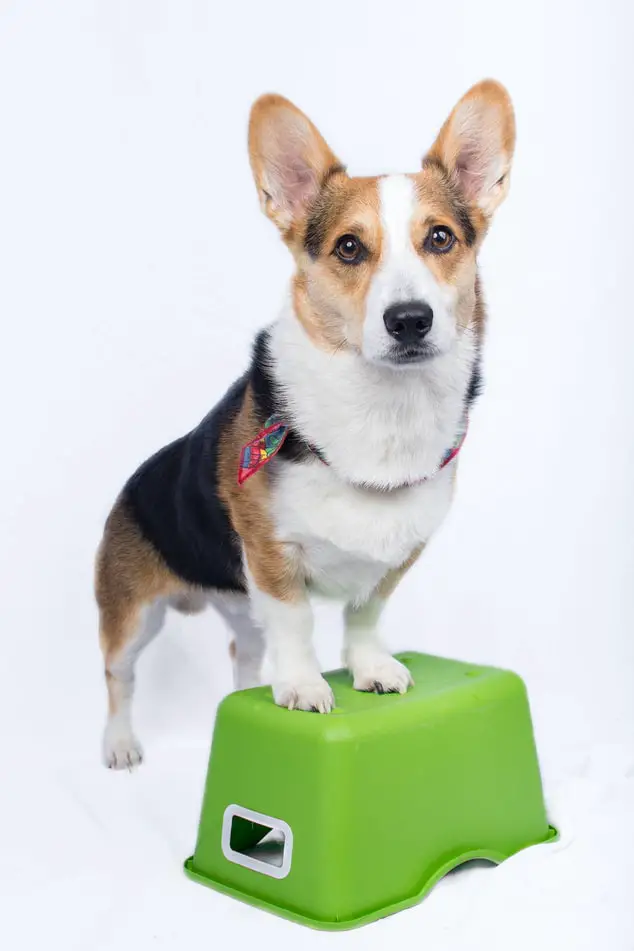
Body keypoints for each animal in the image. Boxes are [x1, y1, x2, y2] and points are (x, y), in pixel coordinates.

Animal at [97, 78, 512, 768]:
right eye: (349, 246)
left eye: (441, 238)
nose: (410, 319)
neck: (383, 407)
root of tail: (129, 485)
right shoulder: (271, 555)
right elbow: (296, 621)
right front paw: (302, 687)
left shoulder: (397, 555)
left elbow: (365, 614)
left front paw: (371, 669)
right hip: (131, 616)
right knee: (118, 679)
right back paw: (122, 744)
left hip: (238, 606)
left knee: (243, 651)